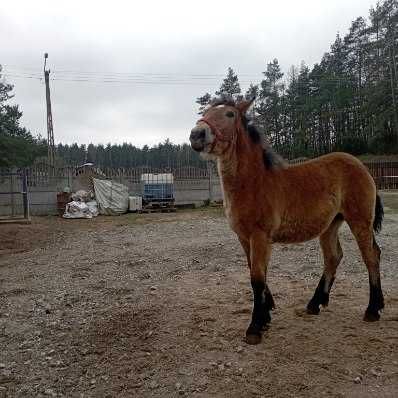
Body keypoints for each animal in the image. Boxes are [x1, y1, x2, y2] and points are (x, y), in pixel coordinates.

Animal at [191, 98, 384, 344]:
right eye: (206, 112)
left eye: (229, 114)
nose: (196, 134)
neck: (253, 183)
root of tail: (362, 166)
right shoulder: (244, 238)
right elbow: (256, 272)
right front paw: (266, 315)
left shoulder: (260, 236)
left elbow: (257, 277)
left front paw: (255, 327)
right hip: (331, 224)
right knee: (334, 257)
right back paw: (315, 304)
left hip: (360, 220)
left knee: (371, 256)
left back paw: (372, 309)